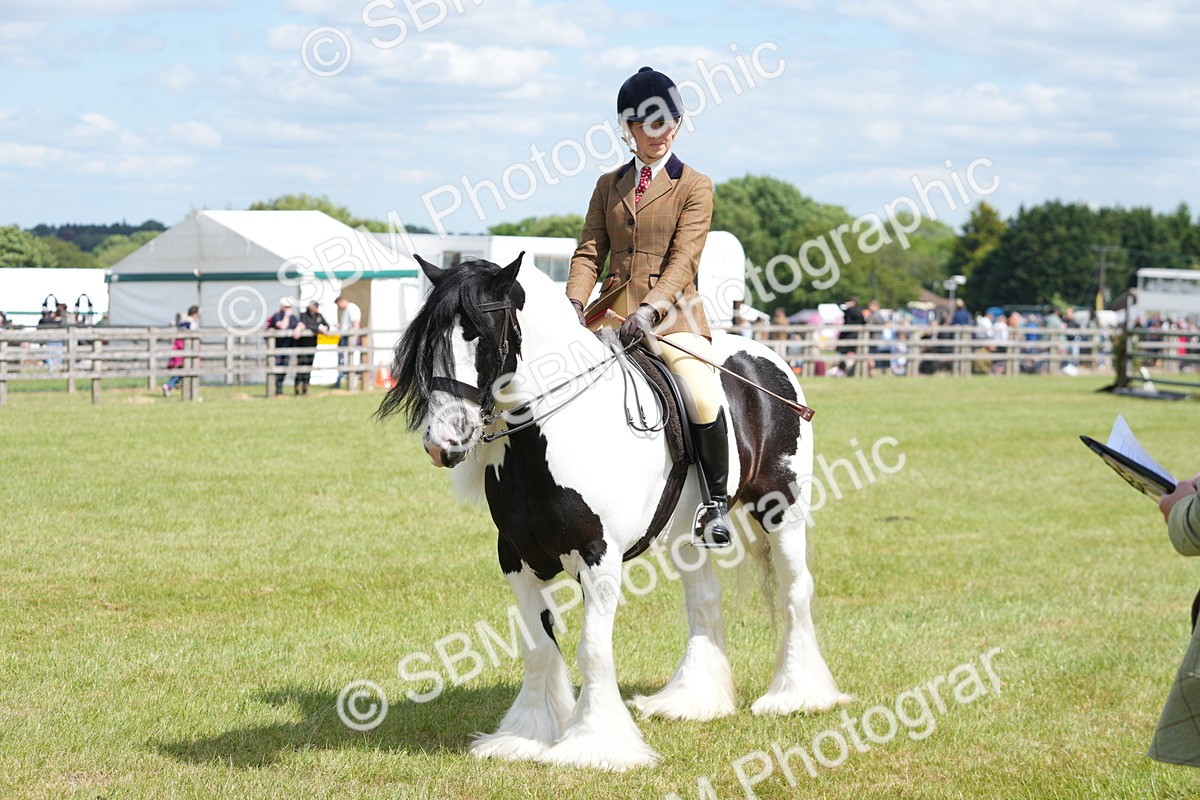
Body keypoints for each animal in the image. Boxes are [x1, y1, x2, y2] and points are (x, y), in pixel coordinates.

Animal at [377, 253, 849, 771]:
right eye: (430, 341)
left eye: (481, 335)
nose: (443, 442)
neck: (550, 434)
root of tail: (768, 358)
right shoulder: (516, 558)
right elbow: (538, 646)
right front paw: (527, 736)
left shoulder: (598, 557)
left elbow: (592, 650)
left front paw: (593, 744)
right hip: (689, 536)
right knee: (704, 601)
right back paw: (692, 701)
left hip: (782, 510)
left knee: (794, 592)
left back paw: (797, 695)